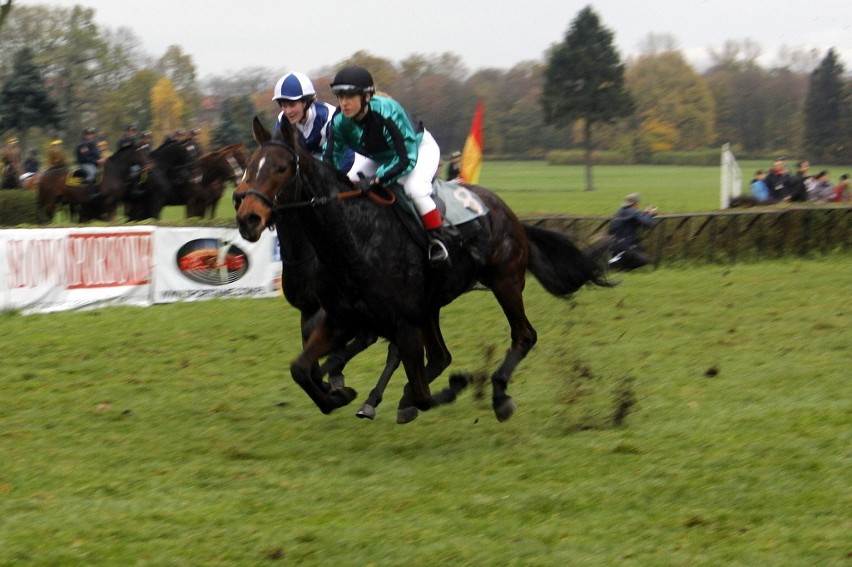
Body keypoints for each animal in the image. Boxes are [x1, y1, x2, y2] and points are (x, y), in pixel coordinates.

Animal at [233, 117, 604, 424]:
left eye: (281, 167)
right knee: (440, 356)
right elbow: (301, 368)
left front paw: (446, 388)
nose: (247, 216)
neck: (354, 238)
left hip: (505, 281)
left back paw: (498, 394)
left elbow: (423, 393)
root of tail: (510, 215)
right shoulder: (339, 318)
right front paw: (338, 395)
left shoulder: (398, 322)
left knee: (523, 335)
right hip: (431, 306)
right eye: (248, 166)